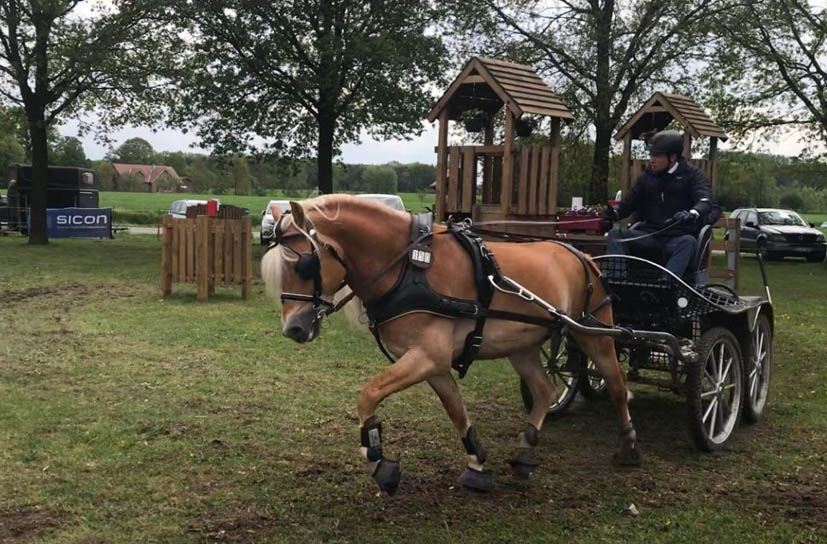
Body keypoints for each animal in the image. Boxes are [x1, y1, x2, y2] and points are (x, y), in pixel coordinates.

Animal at [262, 194, 636, 492]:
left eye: (305, 265)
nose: (293, 328)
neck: (409, 268)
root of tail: (580, 255)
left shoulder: (428, 356)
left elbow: (368, 394)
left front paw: (377, 460)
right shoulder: (432, 364)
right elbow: (456, 409)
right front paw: (476, 463)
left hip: (594, 333)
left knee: (617, 383)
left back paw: (628, 446)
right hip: (522, 346)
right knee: (544, 390)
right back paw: (527, 450)